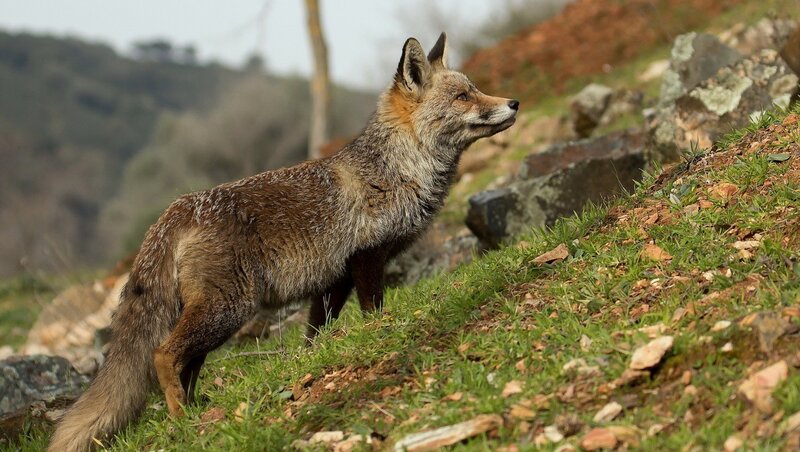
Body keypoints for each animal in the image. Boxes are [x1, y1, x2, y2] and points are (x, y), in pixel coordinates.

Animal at [48, 32, 519, 451]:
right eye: (464, 97)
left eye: (475, 90)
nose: (513, 103)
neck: (396, 171)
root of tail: (176, 209)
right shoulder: (367, 259)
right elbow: (374, 313)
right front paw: (380, 335)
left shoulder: (334, 280)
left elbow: (314, 336)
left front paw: (316, 362)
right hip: (227, 309)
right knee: (163, 354)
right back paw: (181, 419)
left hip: (213, 318)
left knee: (186, 365)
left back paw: (195, 409)